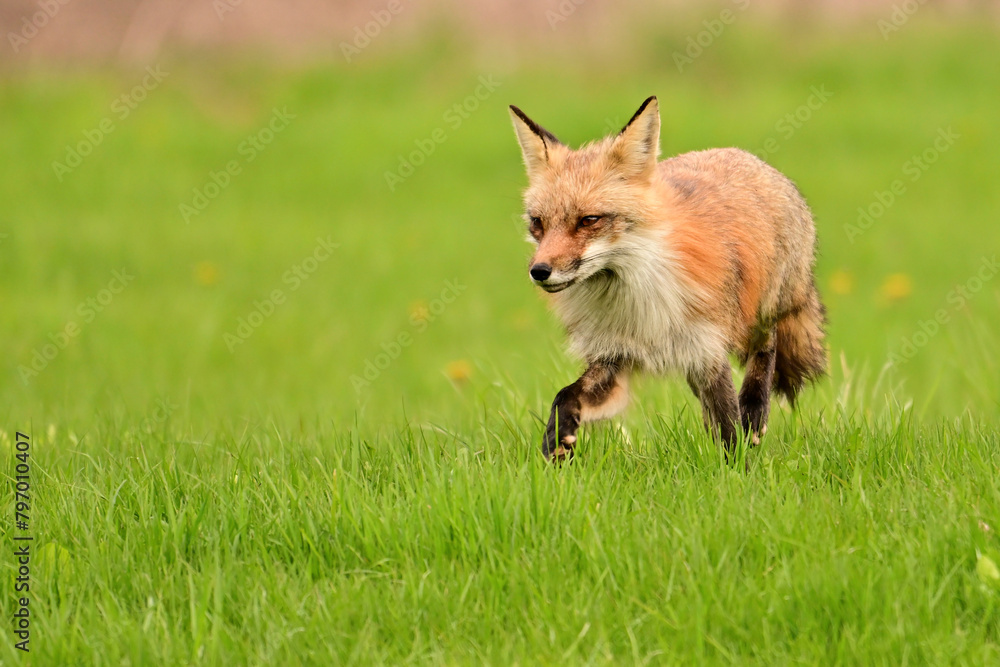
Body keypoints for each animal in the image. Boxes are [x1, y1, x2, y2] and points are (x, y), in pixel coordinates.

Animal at [508, 96, 827, 462]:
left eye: (589, 220)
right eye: (537, 223)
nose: (539, 271)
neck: (634, 301)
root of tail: (744, 155)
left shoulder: (707, 349)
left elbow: (729, 430)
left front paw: (736, 472)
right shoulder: (614, 357)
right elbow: (565, 396)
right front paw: (555, 447)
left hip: (757, 313)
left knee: (766, 346)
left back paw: (754, 409)